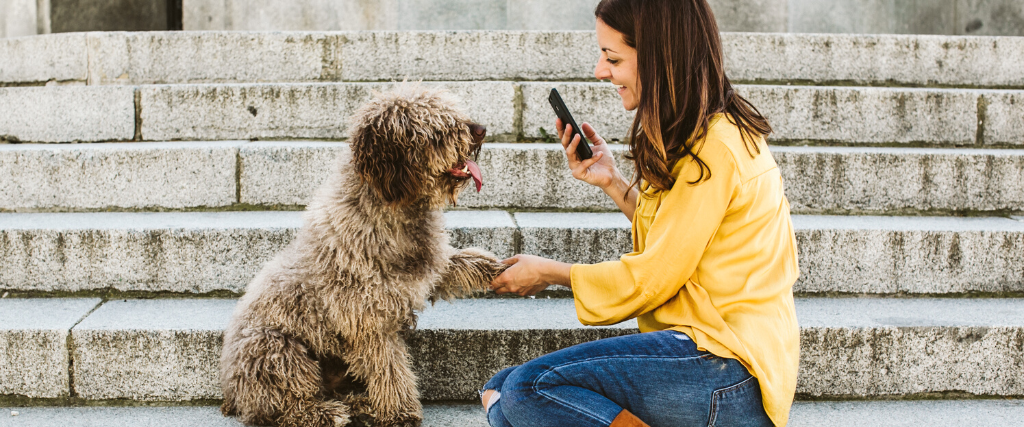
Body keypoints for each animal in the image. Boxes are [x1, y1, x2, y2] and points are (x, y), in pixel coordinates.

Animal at [221, 85, 507, 425]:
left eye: (453, 114)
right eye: (437, 128)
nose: (481, 130)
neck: (393, 207)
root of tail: (231, 395)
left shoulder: (427, 268)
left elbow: (455, 263)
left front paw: (495, 267)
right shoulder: (366, 316)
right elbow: (389, 368)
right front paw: (400, 412)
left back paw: (358, 404)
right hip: (276, 348)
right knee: (287, 407)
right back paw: (327, 412)